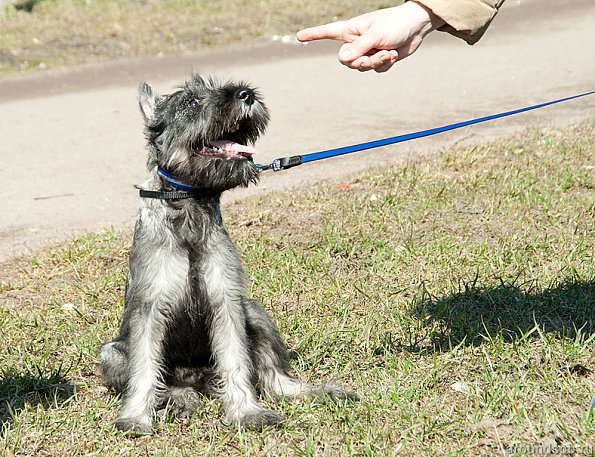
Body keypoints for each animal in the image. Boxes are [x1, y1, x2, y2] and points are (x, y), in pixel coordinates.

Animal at [100, 73, 356, 432]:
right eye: (190, 101)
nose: (246, 94)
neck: (188, 209)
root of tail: (198, 379)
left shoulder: (226, 300)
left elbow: (236, 359)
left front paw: (247, 413)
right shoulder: (149, 307)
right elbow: (144, 369)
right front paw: (135, 417)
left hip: (254, 312)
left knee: (275, 378)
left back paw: (318, 391)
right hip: (111, 353)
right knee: (166, 383)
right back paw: (180, 399)